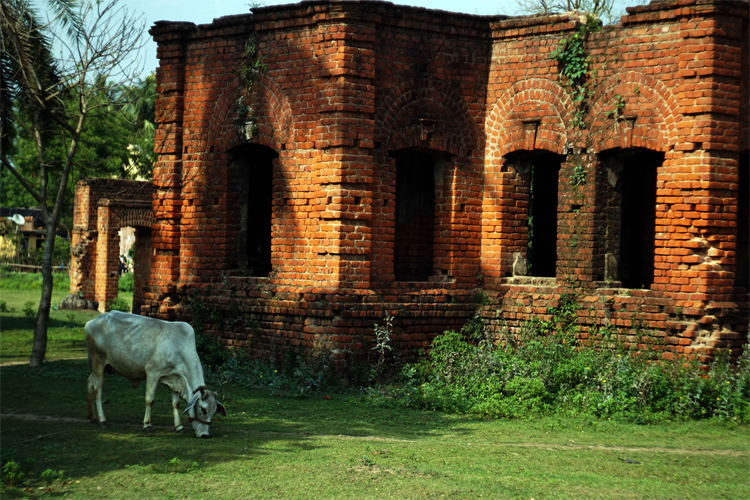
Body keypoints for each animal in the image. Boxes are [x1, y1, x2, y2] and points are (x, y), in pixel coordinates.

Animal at [86, 310, 226, 436]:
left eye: (214, 411)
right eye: (203, 409)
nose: (204, 434)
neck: (178, 347)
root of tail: (91, 322)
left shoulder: (175, 378)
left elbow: (176, 403)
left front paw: (179, 426)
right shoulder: (152, 373)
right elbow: (150, 400)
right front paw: (147, 425)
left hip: (99, 367)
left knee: (90, 384)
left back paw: (92, 417)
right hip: (99, 362)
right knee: (97, 389)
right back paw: (102, 420)